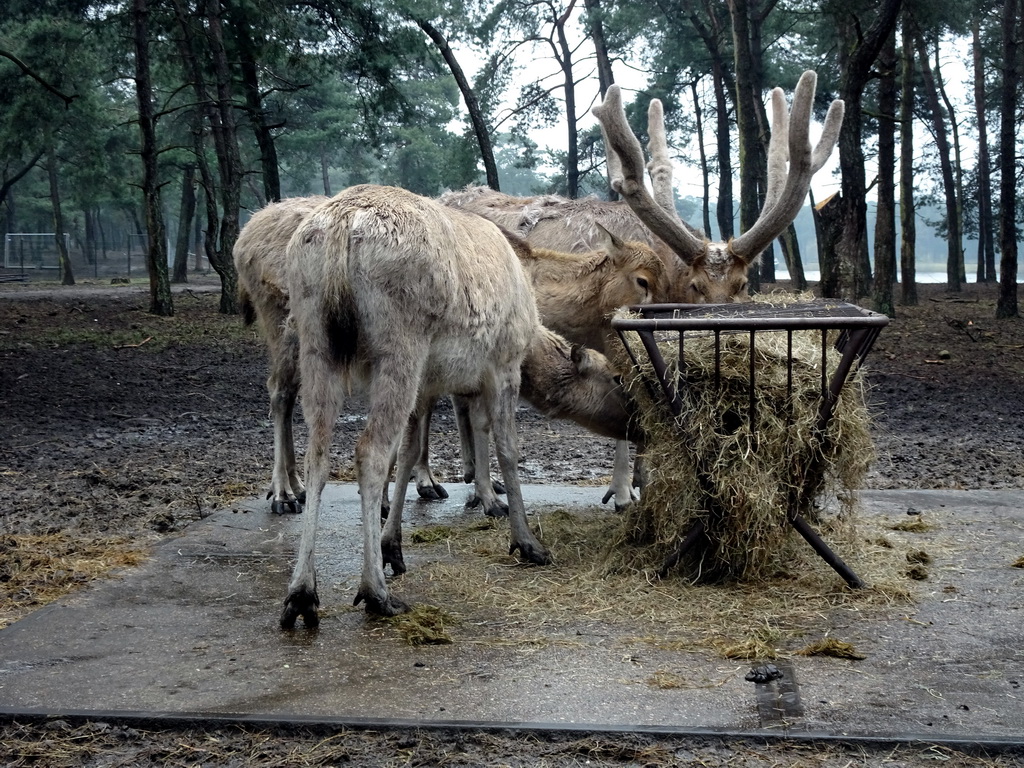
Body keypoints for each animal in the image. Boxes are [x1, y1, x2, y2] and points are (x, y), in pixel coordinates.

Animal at [276, 183, 638, 626]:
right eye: (617, 378)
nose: (640, 423)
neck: (532, 341)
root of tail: (341, 228)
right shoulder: (502, 365)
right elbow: (507, 450)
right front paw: (526, 540)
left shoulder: (429, 385)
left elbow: (410, 452)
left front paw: (393, 545)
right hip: (400, 345)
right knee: (369, 451)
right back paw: (374, 592)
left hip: (316, 341)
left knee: (319, 453)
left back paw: (302, 592)